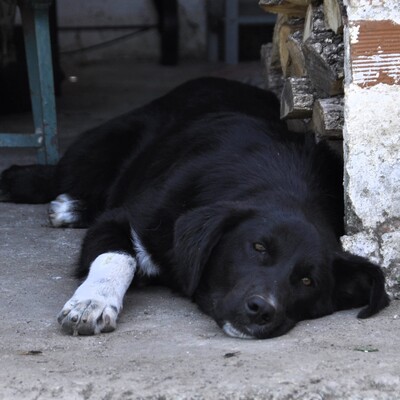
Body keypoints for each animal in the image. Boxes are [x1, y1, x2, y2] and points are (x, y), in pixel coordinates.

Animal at [0, 77, 388, 338]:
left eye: (308, 280)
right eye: (258, 247)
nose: (262, 309)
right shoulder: (122, 219)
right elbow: (118, 257)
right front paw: (93, 301)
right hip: (98, 147)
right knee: (59, 174)